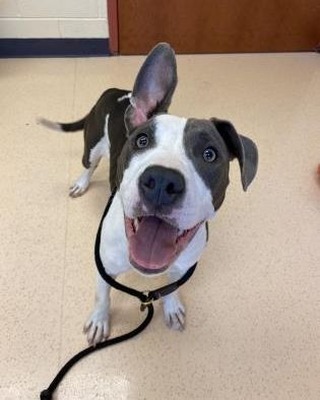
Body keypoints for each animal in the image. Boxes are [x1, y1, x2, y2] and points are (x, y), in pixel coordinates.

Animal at [40, 43, 258, 344]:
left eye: (210, 154)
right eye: (142, 140)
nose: (162, 181)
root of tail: (119, 92)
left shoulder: (181, 269)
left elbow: (171, 288)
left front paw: (172, 306)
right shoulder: (104, 266)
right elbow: (102, 296)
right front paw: (99, 320)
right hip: (92, 145)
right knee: (89, 164)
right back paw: (81, 183)